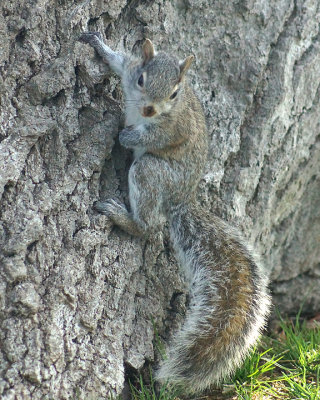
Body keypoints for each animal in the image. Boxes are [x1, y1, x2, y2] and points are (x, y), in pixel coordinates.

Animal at [79, 31, 272, 394]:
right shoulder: (129, 70)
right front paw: (97, 43)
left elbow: (155, 136)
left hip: (151, 173)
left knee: (148, 224)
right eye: (142, 79)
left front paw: (126, 134)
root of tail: (183, 198)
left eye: (174, 93)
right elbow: (117, 60)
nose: (149, 108)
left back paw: (123, 218)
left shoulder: (172, 128)